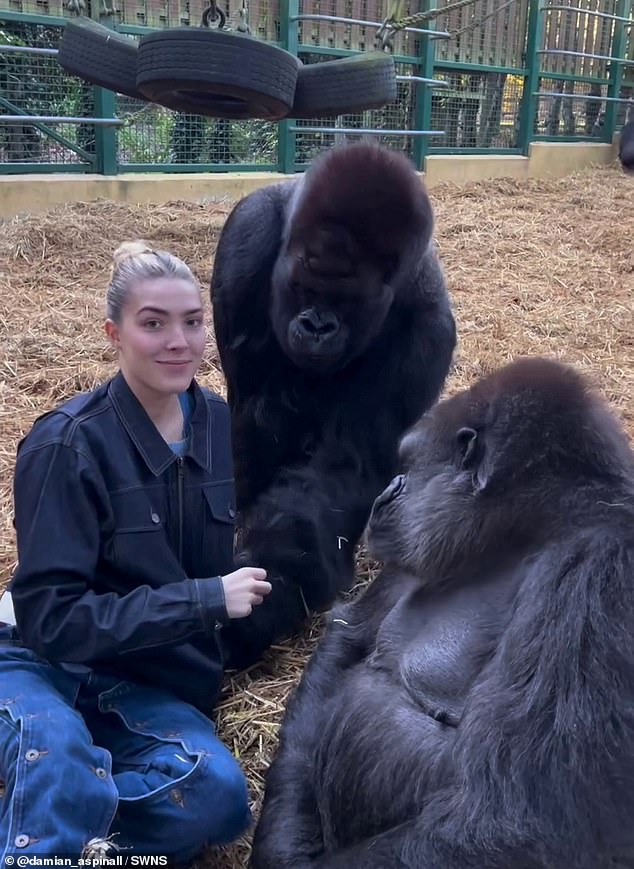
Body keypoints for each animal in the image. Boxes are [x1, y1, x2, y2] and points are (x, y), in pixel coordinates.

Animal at [211, 146, 454, 668]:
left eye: (344, 299)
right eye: (305, 287)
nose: (318, 326)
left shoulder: (428, 325)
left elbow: (341, 468)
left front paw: (261, 602)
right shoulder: (245, 242)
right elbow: (254, 417)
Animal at [249, 358, 632, 868]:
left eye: (408, 464)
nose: (387, 492)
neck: (524, 531)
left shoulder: (598, 572)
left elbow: (520, 822)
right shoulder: (419, 551)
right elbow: (347, 641)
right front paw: (285, 844)